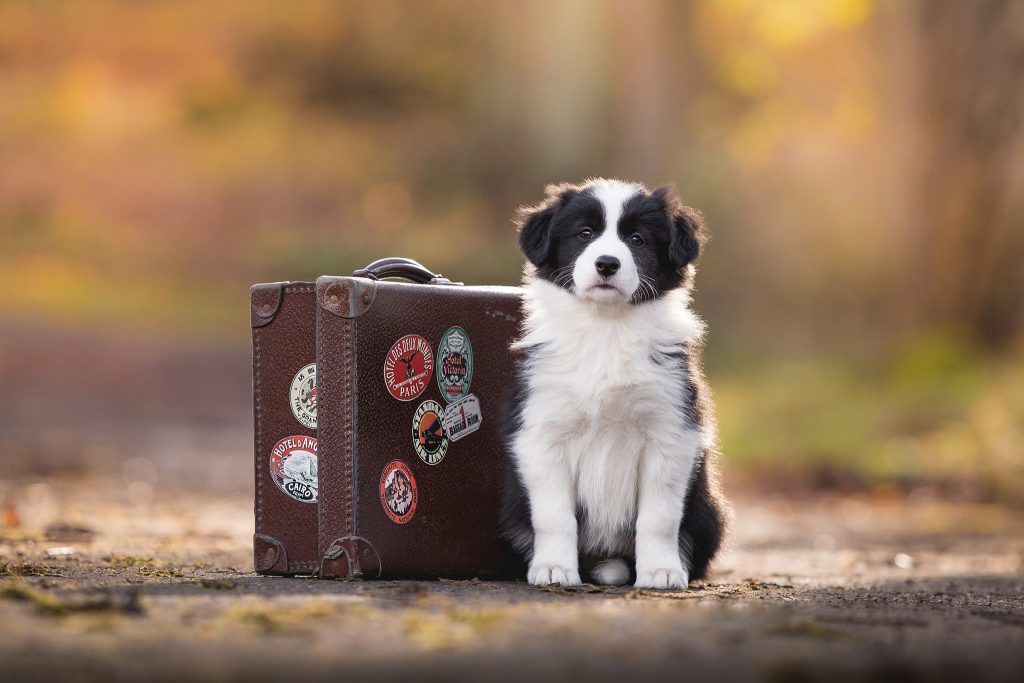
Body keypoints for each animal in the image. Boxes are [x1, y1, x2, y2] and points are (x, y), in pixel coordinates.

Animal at [501, 179, 729, 589]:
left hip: (710, 513)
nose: (607, 263)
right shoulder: (543, 432)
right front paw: (554, 568)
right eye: (585, 234)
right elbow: (554, 515)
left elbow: (658, 516)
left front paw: (661, 571)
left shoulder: (670, 431)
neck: (607, 327)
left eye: (637, 239)